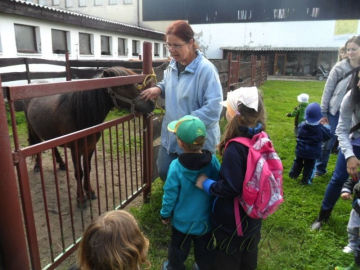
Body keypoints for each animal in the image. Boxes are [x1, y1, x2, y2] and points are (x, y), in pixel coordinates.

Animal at [25, 66, 155, 208]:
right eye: (123, 85)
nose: (151, 104)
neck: (80, 114)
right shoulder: (75, 150)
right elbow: (79, 172)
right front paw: (81, 198)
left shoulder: (90, 147)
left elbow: (87, 169)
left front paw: (90, 191)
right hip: (34, 130)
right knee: (36, 145)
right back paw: (37, 166)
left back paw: (61, 164)